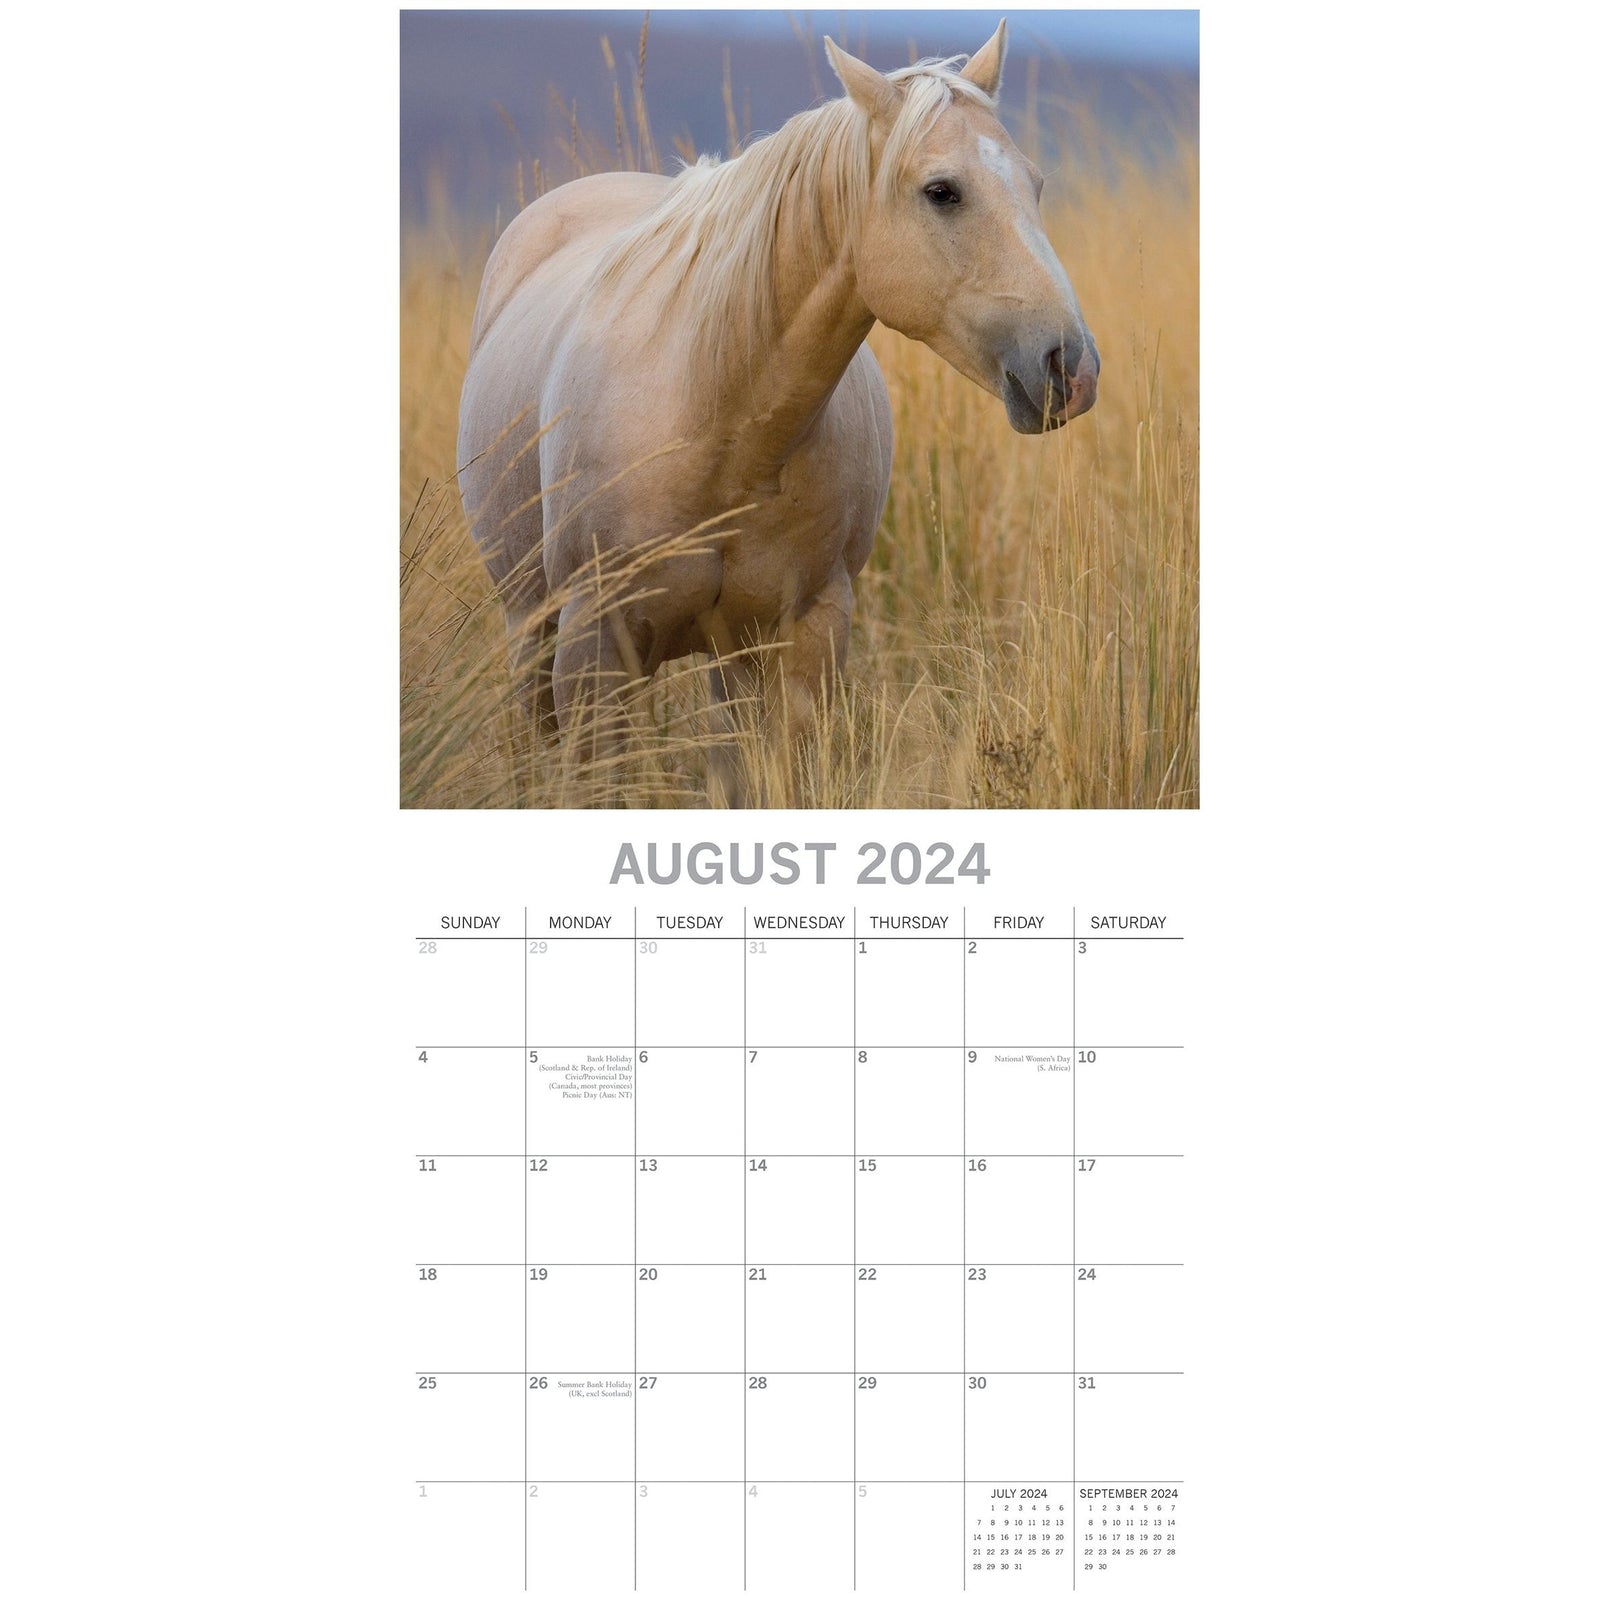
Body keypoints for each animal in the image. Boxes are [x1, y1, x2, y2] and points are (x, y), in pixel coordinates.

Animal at [457, 19, 1099, 802]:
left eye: (1035, 185)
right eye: (942, 191)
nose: (1070, 367)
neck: (723, 422)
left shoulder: (806, 636)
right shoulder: (593, 640)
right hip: (530, 627)